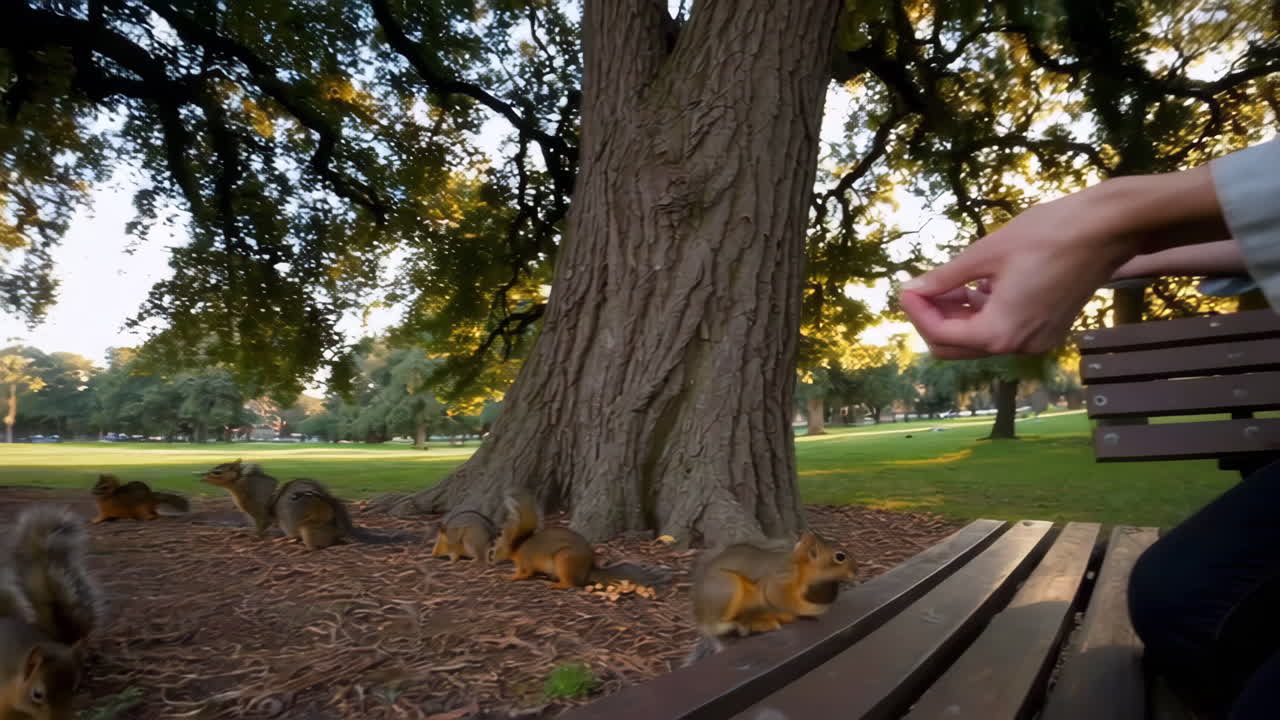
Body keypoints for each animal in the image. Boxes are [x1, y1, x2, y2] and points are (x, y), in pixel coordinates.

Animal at [200, 460, 353, 550]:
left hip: (301, 524)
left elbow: (261, 526)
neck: (241, 482)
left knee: (310, 541)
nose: (202, 477)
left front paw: (256, 537)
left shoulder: (258, 510)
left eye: (217, 472)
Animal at [490, 492, 668, 589]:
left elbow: (525, 574)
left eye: (495, 550)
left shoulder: (526, 562)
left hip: (565, 560)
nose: (491, 561)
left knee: (571, 584)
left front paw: (512, 577)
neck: (517, 548)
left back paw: (556, 585)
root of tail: (587, 570)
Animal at [687, 530, 856, 663]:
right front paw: (814, 609)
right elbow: (784, 600)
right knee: (719, 627)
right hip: (727, 590)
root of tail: (701, 618)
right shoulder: (780, 581)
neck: (801, 567)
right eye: (840, 557)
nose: (857, 571)